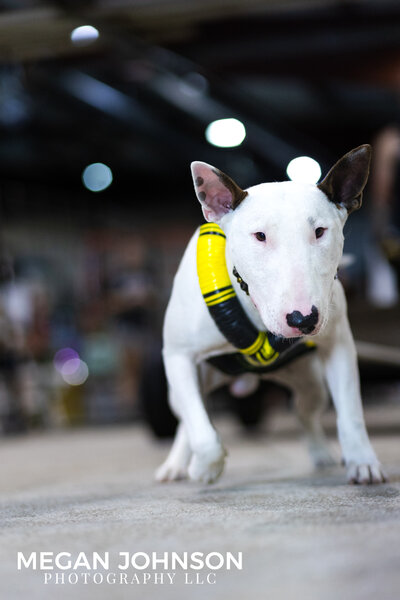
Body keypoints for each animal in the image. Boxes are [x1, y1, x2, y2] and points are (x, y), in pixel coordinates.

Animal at [157, 145, 388, 488]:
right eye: (260, 236)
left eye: (320, 231)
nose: (303, 319)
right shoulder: (178, 355)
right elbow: (203, 432)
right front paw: (203, 468)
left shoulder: (339, 345)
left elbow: (350, 412)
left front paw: (363, 462)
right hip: (184, 385)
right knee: (188, 415)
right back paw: (176, 465)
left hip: (309, 381)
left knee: (305, 412)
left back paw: (321, 453)